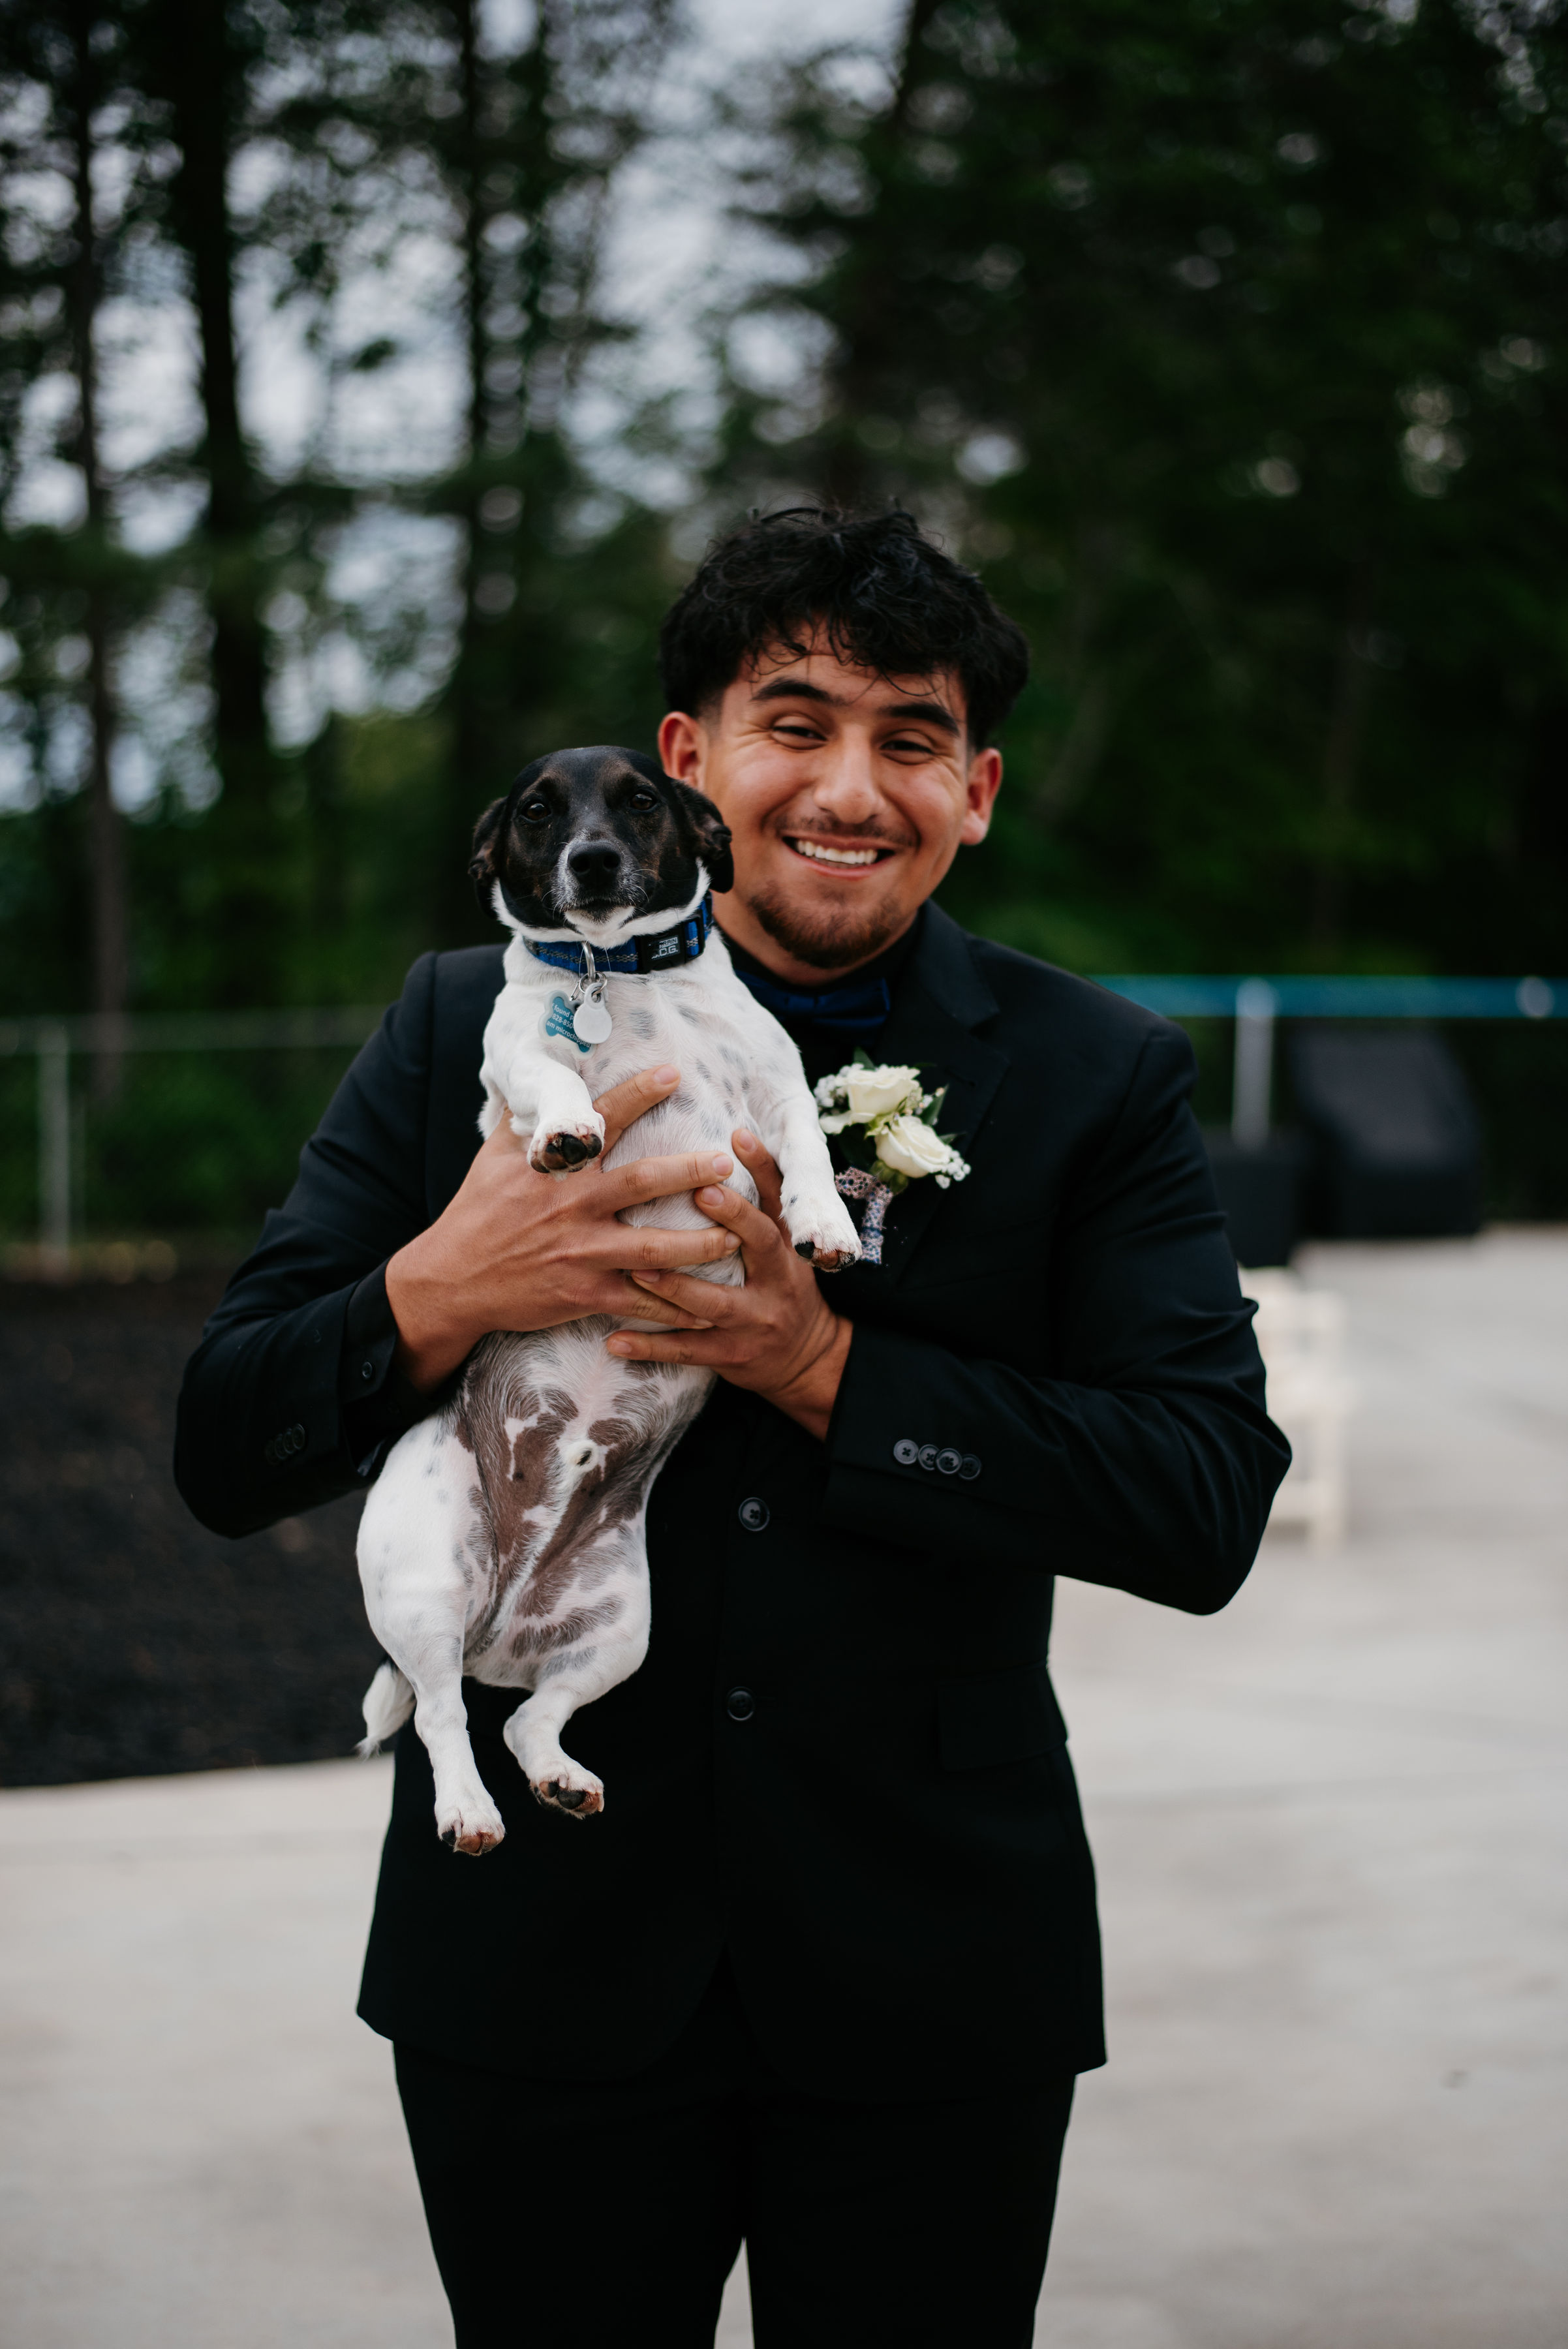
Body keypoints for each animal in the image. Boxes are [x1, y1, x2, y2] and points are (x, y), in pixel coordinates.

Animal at [355, 746, 861, 1853]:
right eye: (537, 811)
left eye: (639, 799)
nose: (589, 859)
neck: (618, 975)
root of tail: (496, 1618)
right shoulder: (512, 1058)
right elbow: (549, 1075)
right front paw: (569, 1130)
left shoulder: (777, 1090)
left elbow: (806, 1147)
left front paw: (825, 1226)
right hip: (425, 1575)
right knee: (444, 1717)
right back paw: (467, 1811)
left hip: (616, 1626)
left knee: (527, 1721)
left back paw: (560, 1779)